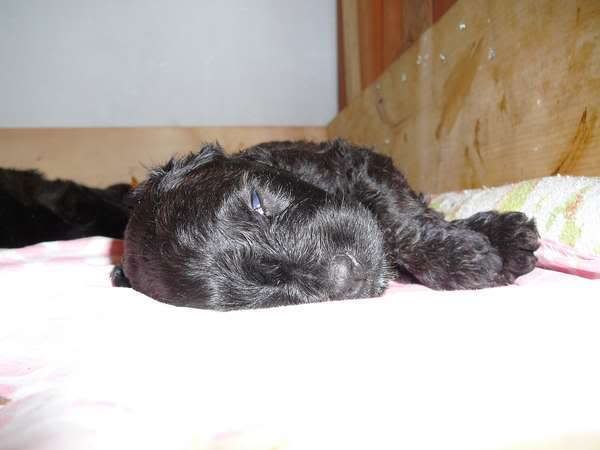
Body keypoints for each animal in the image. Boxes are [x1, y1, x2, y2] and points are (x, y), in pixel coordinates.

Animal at [111, 139, 539, 310]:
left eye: (257, 202)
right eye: (273, 294)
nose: (349, 276)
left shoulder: (353, 162)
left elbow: (400, 217)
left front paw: (474, 251)